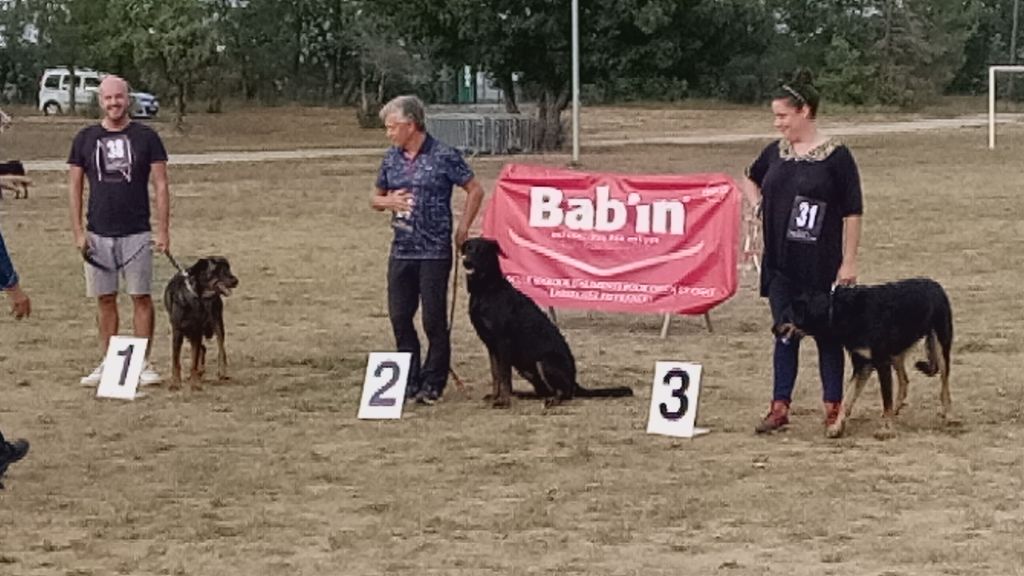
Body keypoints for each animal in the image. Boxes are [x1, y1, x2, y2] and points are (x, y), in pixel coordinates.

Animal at [161, 255, 237, 389]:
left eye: (228, 268)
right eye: (218, 270)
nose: (236, 281)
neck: (196, 297)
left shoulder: (197, 331)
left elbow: (194, 361)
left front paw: (195, 384)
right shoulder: (178, 332)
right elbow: (176, 361)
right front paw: (176, 383)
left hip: (217, 323)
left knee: (221, 349)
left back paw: (221, 372)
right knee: (203, 348)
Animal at [458, 235, 630, 405]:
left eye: (481, 250)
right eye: (468, 248)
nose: (466, 262)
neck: (485, 289)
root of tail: (574, 381)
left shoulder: (503, 343)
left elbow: (505, 376)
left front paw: (504, 401)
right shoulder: (491, 346)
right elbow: (496, 375)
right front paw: (495, 396)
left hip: (544, 361)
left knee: (565, 393)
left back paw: (553, 400)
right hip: (526, 369)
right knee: (543, 391)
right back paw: (524, 395)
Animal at [782, 276, 958, 434]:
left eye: (787, 316)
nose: (776, 330)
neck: (837, 311)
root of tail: (935, 284)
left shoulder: (881, 362)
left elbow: (885, 398)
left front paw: (886, 429)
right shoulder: (862, 364)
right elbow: (847, 398)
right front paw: (837, 427)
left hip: (940, 346)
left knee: (944, 386)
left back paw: (949, 415)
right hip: (896, 353)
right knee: (904, 381)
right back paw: (896, 410)